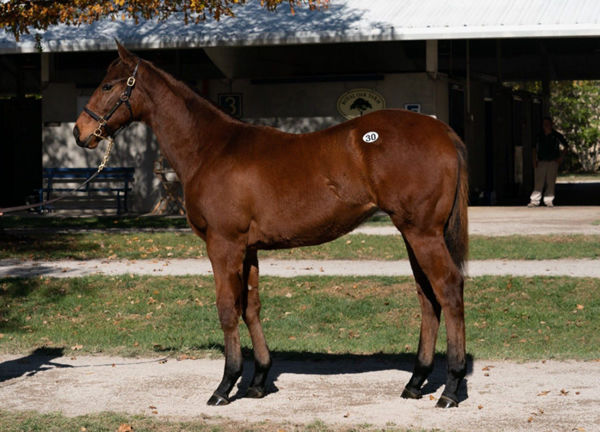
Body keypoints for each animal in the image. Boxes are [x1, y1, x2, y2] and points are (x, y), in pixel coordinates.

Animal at [75, 43, 468, 408]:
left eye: (108, 84)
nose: (81, 132)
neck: (211, 149)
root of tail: (443, 131)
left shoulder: (223, 245)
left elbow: (227, 309)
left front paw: (225, 385)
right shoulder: (248, 249)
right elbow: (251, 307)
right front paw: (258, 381)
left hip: (422, 233)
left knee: (448, 289)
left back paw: (451, 388)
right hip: (412, 234)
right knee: (427, 297)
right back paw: (415, 382)